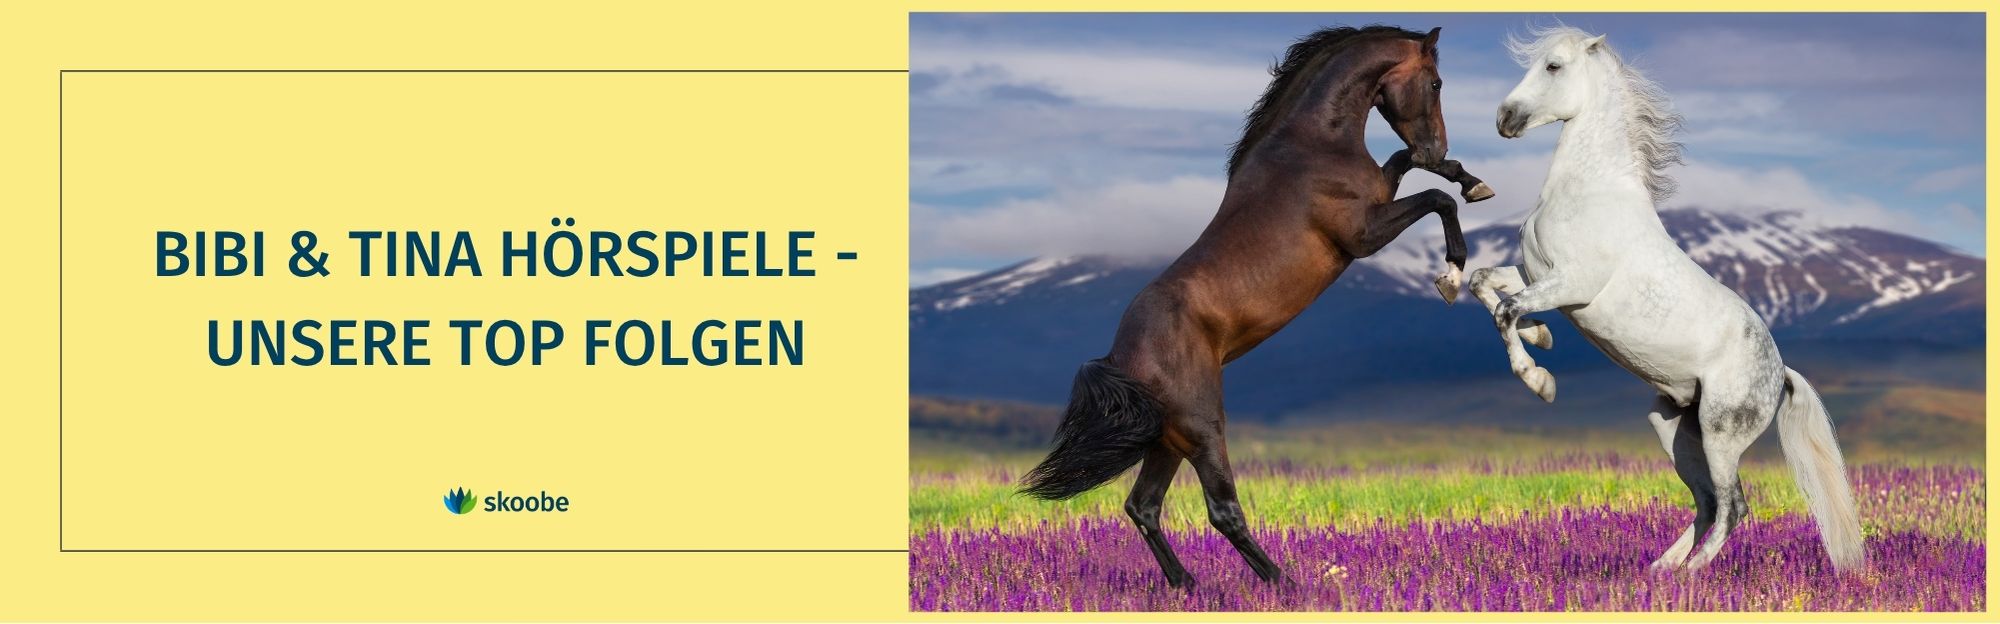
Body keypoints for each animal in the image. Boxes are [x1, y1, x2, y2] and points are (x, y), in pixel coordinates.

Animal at [1019, 25, 1493, 587]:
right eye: (1437, 82)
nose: (1436, 142)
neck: (1312, 146)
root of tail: (1119, 358)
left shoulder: (1381, 194)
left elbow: (1415, 170)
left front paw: (1469, 179)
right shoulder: (1362, 235)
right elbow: (1437, 200)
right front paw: (1451, 274)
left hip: (1168, 440)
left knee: (1143, 506)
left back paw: (1187, 585)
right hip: (1204, 429)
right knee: (1221, 510)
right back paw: (1283, 582)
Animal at [1473, 25, 1864, 573]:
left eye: (1553, 66)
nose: (1505, 119)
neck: (1590, 191)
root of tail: (1780, 373)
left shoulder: (1571, 284)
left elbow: (1506, 310)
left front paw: (1539, 381)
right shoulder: (1535, 273)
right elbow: (1483, 283)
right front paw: (1542, 337)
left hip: (1721, 434)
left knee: (1733, 505)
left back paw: (1694, 574)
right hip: (1673, 427)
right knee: (1706, 502)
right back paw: (1662, 570)